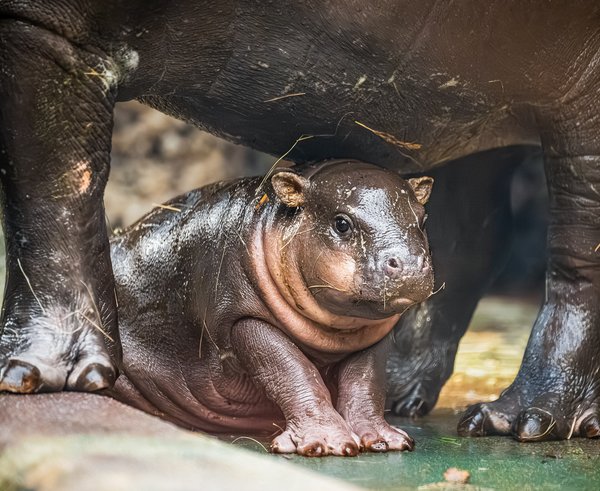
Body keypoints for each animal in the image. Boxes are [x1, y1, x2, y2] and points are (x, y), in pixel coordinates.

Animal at [109, 161, 436, 458]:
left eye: (422, 220)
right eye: (341, 223)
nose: (409, 263)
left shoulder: (372, 337)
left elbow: (366, 383)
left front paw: (386, 440)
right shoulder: (244, 320)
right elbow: (291, 370)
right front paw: (324, 443)